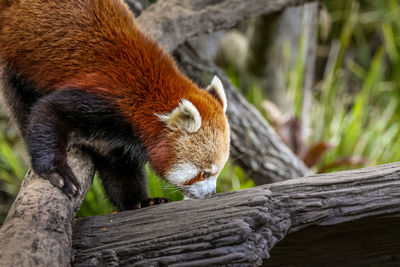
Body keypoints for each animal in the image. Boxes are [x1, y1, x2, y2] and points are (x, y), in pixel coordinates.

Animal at [0, 0, 230, 209]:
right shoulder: (106, 100)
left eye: (218, 171)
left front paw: (140, 201)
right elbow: (49, 111)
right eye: (204, 173)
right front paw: (58, 172)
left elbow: (119, 168)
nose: (211, 193)